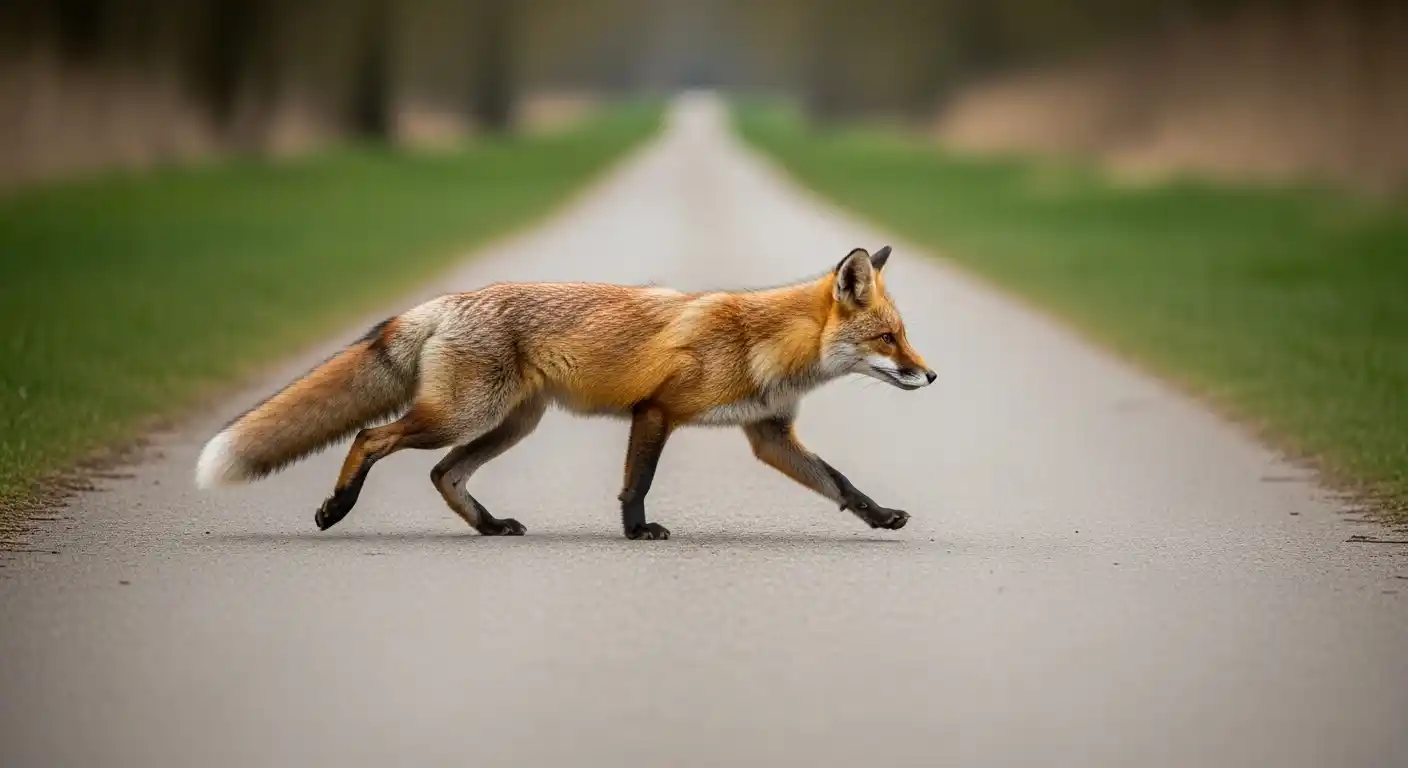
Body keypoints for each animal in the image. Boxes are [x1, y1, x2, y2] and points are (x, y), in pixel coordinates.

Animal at [195, 245, 935, 540]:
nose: (931, 376)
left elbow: (842, 485)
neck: (761, 343)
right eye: (889, 338)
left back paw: (490, 526)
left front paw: (881, 517)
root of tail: (445, 302)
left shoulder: (769, 434)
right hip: (459, 415)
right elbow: (637, 483)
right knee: (370, 436)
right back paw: (337, 508)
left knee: (443, 473)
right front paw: (638, 533)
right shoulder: (657, 410)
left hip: (508, 425)